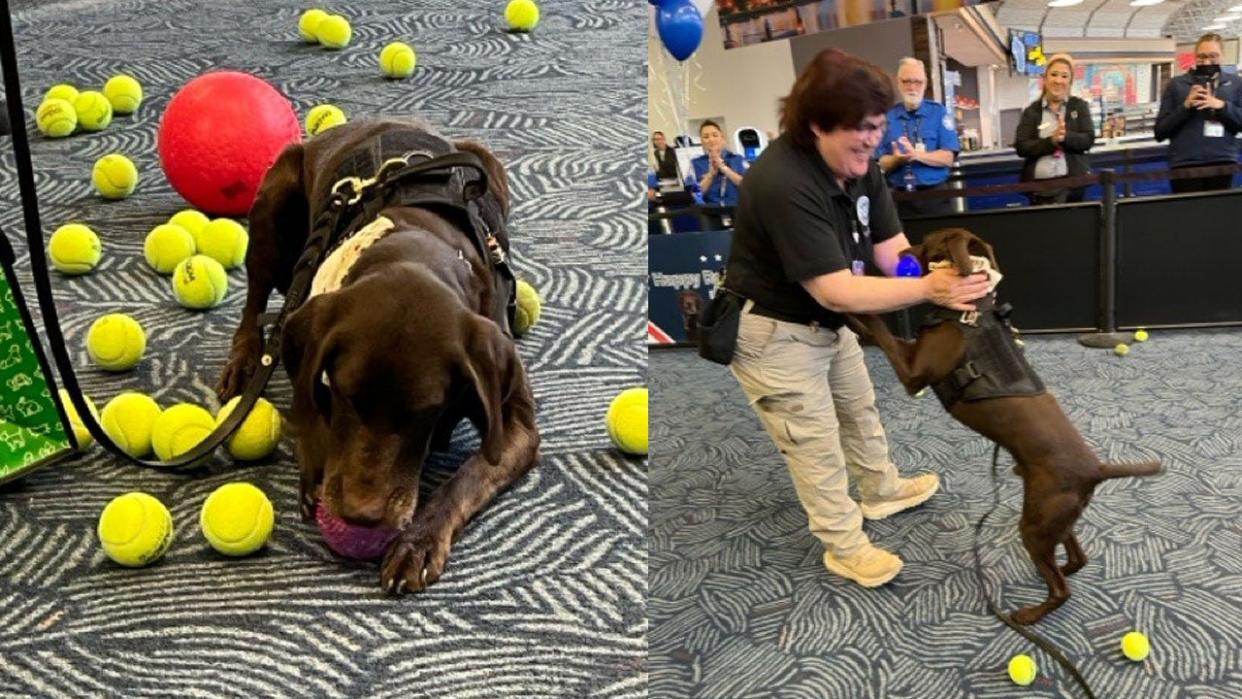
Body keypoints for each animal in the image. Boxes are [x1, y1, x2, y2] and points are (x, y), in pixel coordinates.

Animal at [849, 227, 1157, 625]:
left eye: (927, 242)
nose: (901, 252)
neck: (971, 309)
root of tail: (1097, 470)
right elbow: (877, 335)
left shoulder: (912, 373)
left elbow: (880, 331)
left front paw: (851, 311)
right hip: (1056, 520)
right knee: (1076, 557)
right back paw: (1060, 570)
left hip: (1036, 524)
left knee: (1061, 589)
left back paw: (1029, 614)